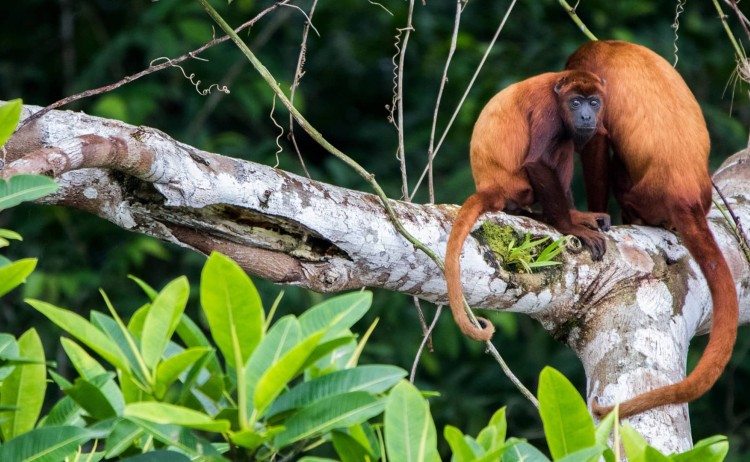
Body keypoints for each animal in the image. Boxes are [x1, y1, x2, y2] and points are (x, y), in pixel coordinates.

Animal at [445, 70, 611, 342]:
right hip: (518, 188)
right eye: (575, 102)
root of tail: (489, 187)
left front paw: (577, 217)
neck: (557, 89)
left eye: (594, 102)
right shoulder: (547, 109)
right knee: (563, 143)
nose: (586, 116)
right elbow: (538, 161)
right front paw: (570, 226)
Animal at [566, 40, 739, 418]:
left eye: (583, 104)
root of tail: (688, 199)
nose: (579, 114)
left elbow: (597, 139)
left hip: (643, 196)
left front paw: (596, 216)